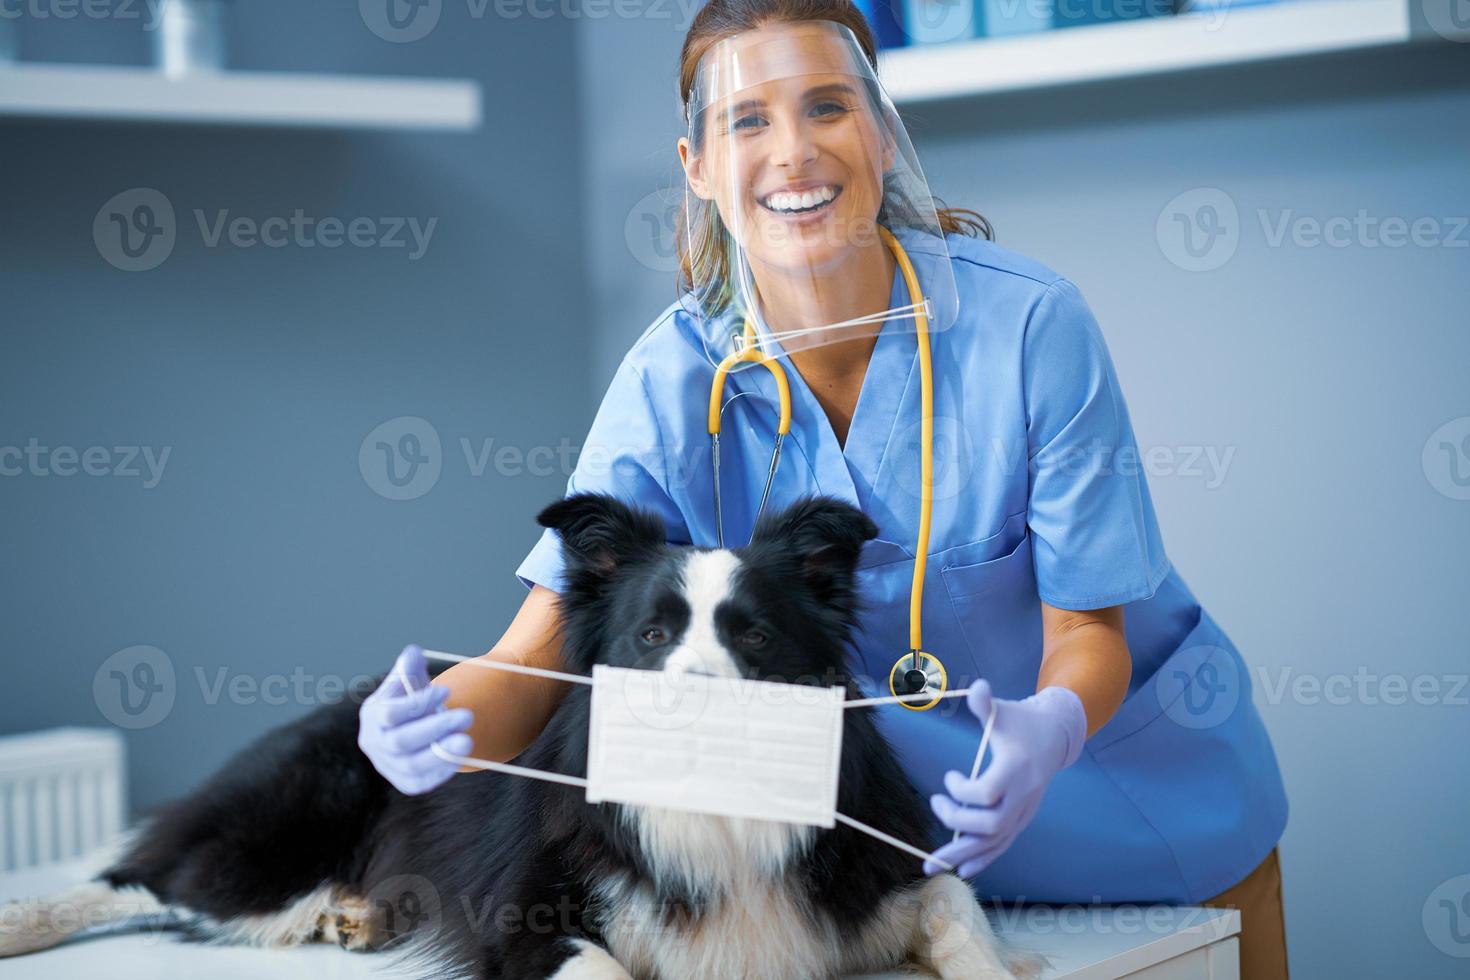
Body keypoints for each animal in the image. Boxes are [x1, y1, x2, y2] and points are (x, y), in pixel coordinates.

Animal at [0, 499, 1029, 980]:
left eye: (756, 637)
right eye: (649, 636)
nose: (691, 707)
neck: (710, 808)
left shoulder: (860, 878)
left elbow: (955, 905)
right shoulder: (528, 915)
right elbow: (599, 962)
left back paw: (356, 915)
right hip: (281, 833)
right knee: (138, 879)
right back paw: (26, 921)